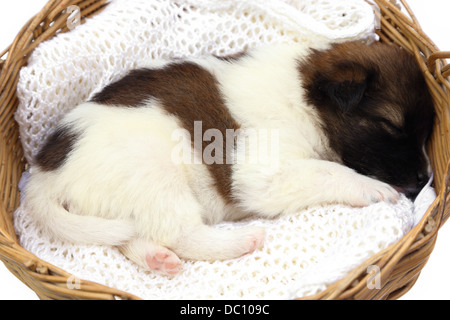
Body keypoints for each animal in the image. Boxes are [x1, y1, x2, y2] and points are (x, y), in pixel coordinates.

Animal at [22, 40, 434, 276]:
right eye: (390, 125)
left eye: (424, 133)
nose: (423, 179)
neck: (305, 99)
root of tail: (44, 173)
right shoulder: (261, 175)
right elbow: (328, 171)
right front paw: (371, 188)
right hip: (155, 173)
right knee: (180, 233)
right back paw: (241, 242)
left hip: (118, 207)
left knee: (132, 236)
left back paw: (157, 259)